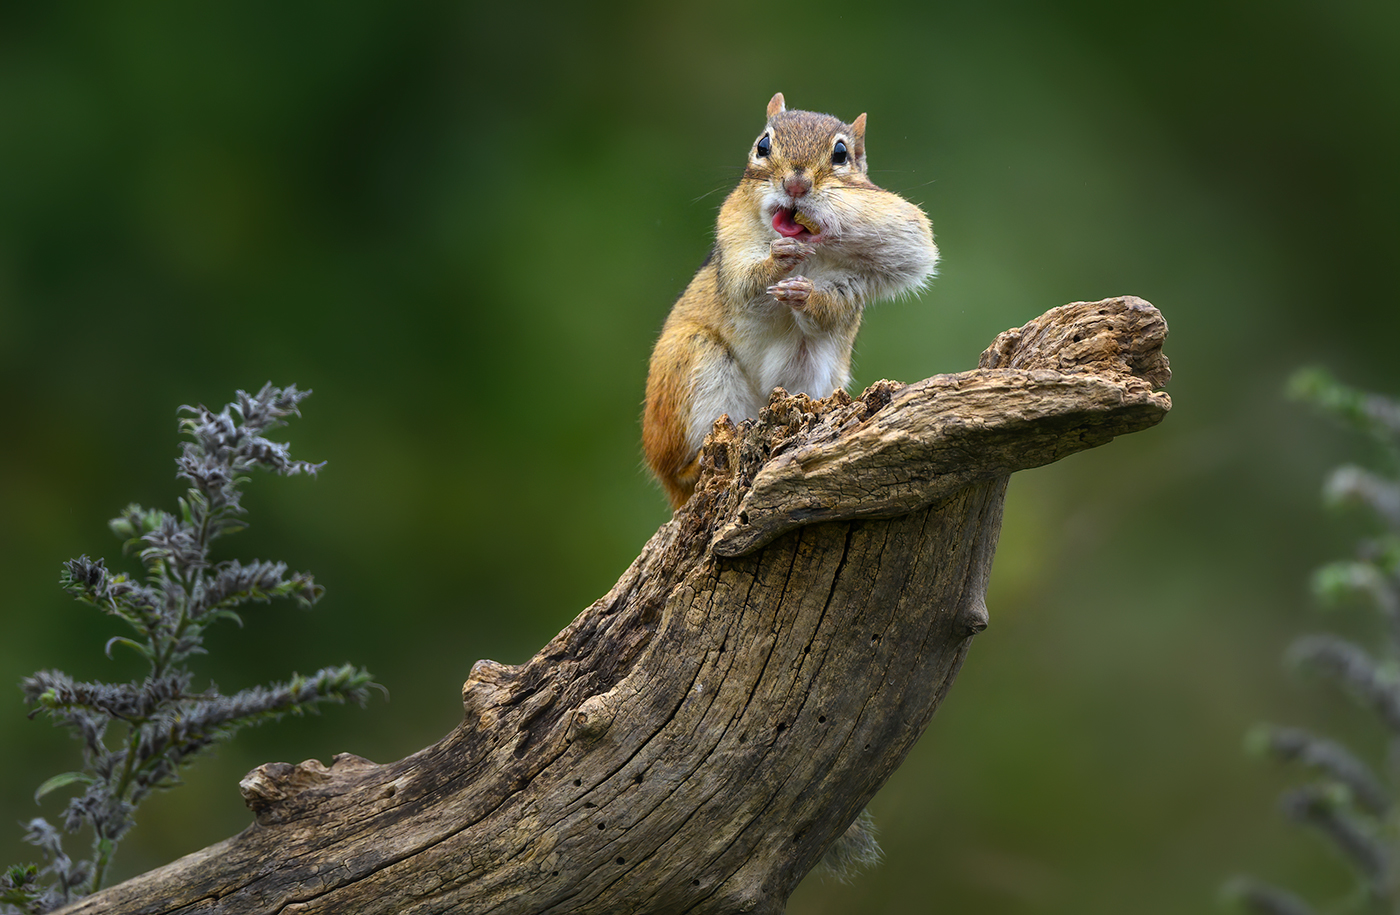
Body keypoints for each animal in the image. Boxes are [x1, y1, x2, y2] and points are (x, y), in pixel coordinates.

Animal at [643, 92, 940, 508]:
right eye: (762, 145)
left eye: (841, 153)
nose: (796, 184)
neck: (811, 254)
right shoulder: (732, 242)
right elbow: (746, 286)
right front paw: (777, 259)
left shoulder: (862, 276)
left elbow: (832, 308)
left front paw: (805, 293)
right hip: (692, 361)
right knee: (679, 471)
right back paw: (695, 463)